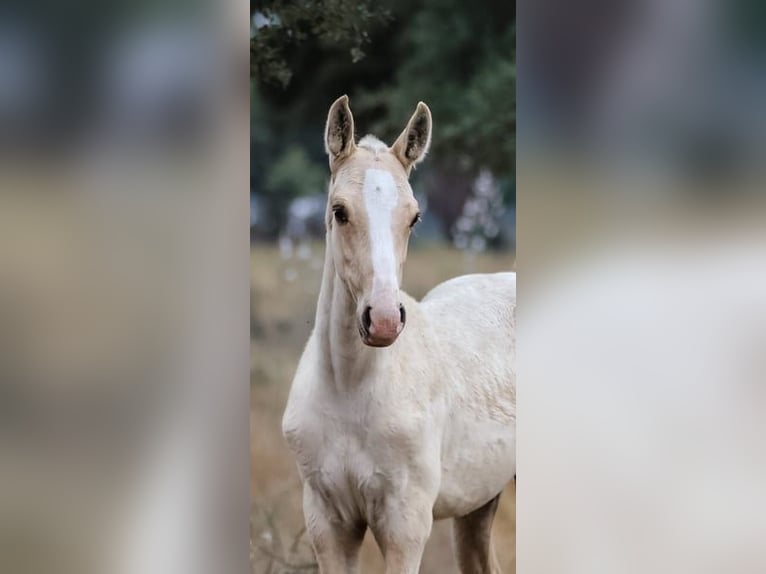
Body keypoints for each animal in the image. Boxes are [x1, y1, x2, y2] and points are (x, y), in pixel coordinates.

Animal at [282, 95, 516, 574]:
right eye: (339, 211)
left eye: (414, 217)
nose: (384, 320)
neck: (351, 389)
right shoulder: (327, 524)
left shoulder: (405, 528)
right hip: (479, 505)